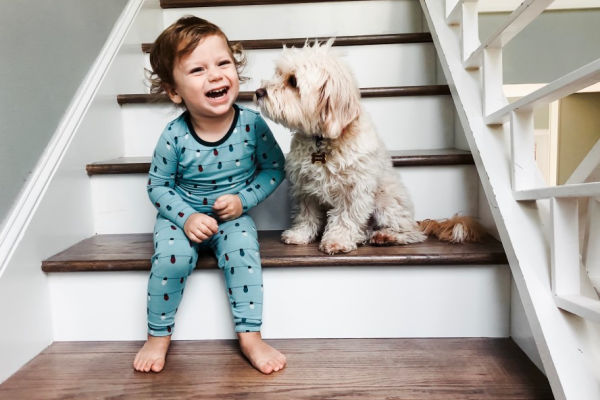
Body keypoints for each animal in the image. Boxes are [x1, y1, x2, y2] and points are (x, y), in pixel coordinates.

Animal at [255, 40, 480, 253]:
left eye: (293, 81)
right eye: (278, 74)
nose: (258, 92)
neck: (322, 139)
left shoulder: (354, 189)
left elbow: (345, 218)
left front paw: (337, 241)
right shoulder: (306, 188)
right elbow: (306, 215)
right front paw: (299, 235)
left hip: (385, 201)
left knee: (412, 233)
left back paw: (387, 236)